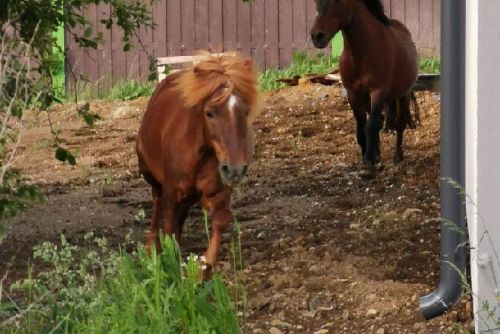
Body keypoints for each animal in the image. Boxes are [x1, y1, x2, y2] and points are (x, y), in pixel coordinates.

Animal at [137, 53, 262, 274]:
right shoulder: (171, 191)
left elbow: (220, 221)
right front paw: (169, 263)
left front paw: (206, 267)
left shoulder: (220, 191)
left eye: (245, 112)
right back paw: (150, 247)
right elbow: (168, 225)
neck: (200, 153)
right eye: (210, 112)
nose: (235, 169)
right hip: (152, 178)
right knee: (157, 205)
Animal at [310, 0, 420, 177]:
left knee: (400, 123)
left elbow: (371, 126)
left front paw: (368, 165)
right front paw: (367, 157)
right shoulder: (353, 95)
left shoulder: (378, 92)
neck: (363, 54)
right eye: (316, 2)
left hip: (403, 95)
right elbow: (362, 128)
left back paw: (397, 157)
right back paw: (377, 154)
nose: (317, 36)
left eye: (338, 1)